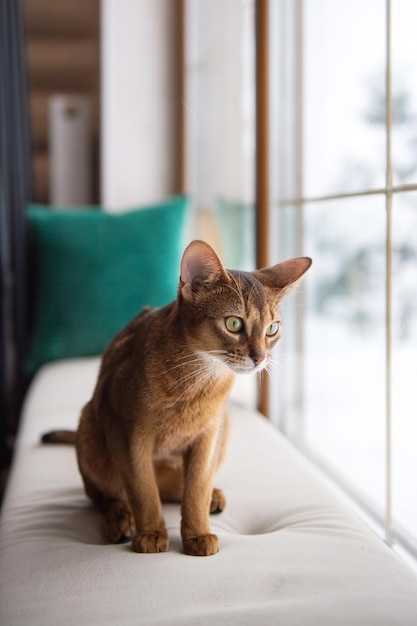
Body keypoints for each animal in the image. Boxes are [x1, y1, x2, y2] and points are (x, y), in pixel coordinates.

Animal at [43, 240, 308, 556]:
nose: (259, 358)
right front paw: (151, 533)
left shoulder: (208, 434)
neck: (198, 380)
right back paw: (120, 517)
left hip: (225, 423)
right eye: (233, 324)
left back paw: (212, 497)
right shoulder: (127, 433)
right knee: (103, 495)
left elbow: (197, 487)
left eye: (272, 329)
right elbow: (143, 489)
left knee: (178, 489)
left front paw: (197, 534)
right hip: (89, 425)